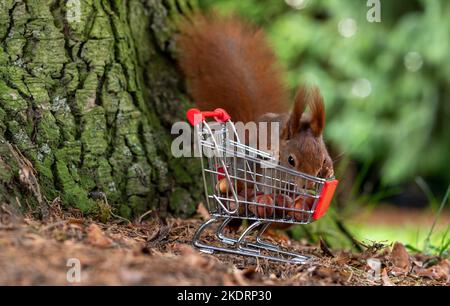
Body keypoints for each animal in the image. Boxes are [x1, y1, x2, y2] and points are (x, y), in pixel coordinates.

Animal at [176, 14, 334, 230]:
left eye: (322, 159)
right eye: (291, 161)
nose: (308, 185)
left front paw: (328, 171)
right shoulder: (266, 166)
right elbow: (266, 182)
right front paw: (268, 199)